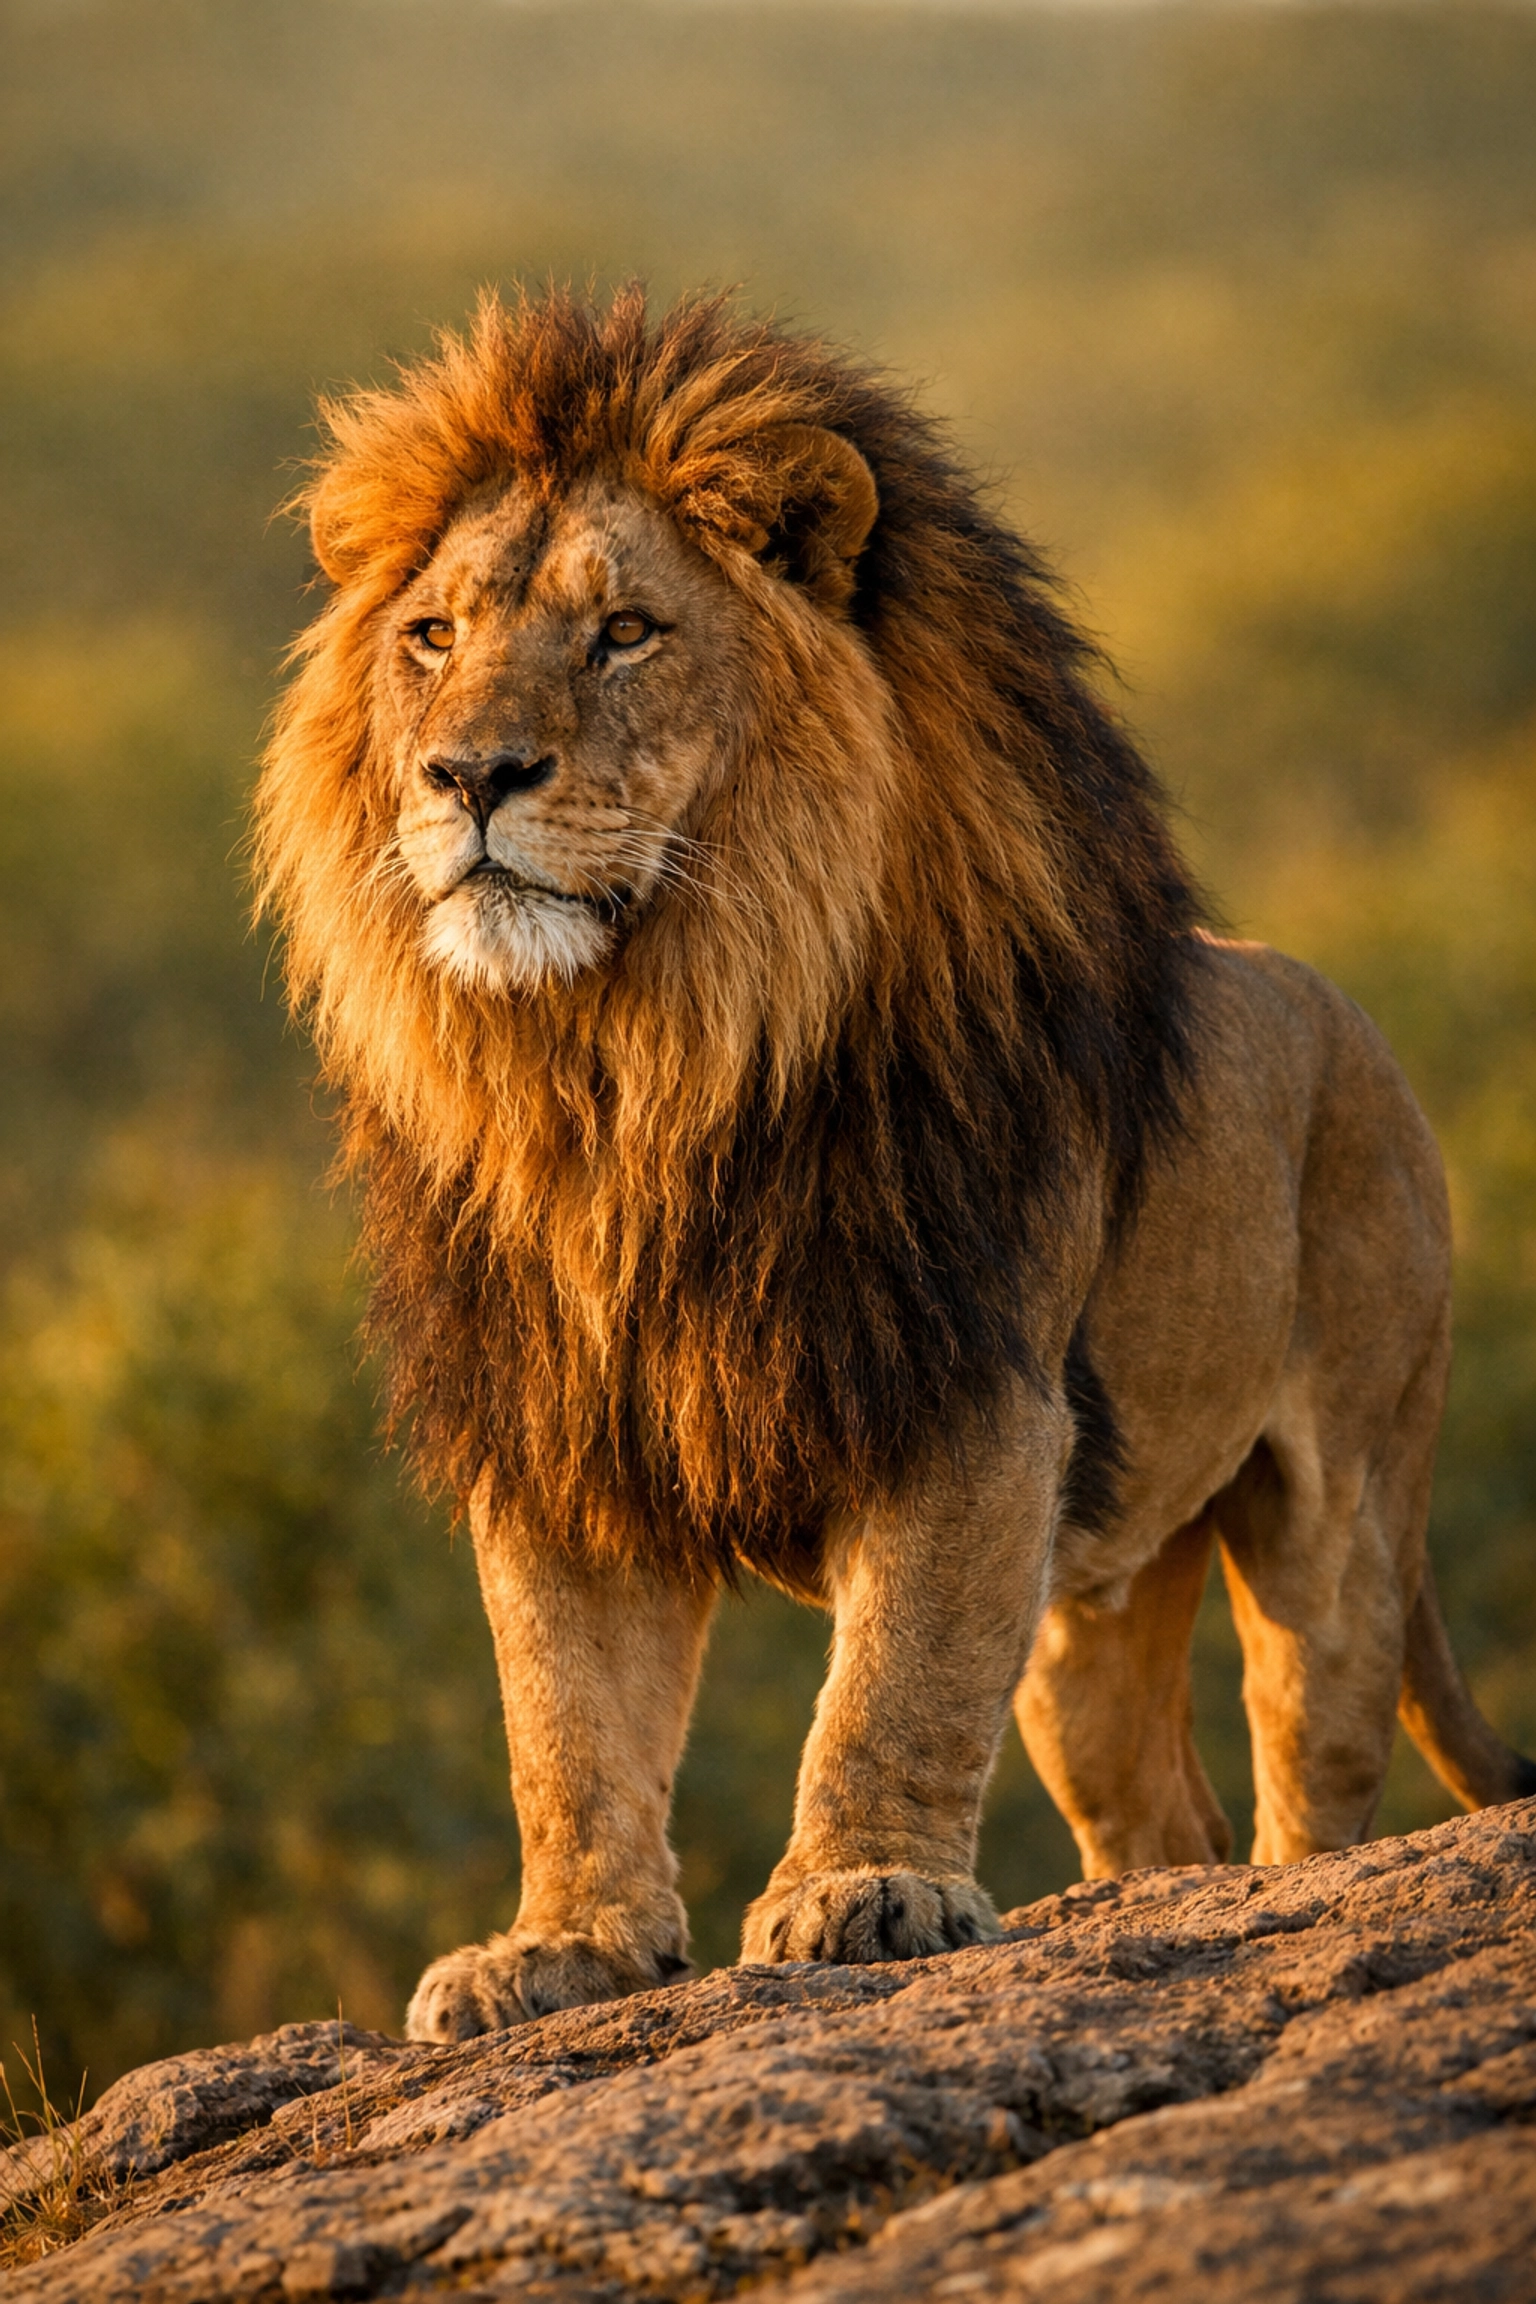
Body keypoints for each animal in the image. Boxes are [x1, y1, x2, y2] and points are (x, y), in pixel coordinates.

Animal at [254, 288, 1533, 2041]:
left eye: (626, 632)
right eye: (433, 638)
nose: (469, 777)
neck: (632, 1070)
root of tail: (1353, 1016)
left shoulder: (972, 1396)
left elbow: (897, 1676)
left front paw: (863, 1892)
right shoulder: (560, 1434)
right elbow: (564, 1721)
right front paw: (562, 1949)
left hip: (1341, 1496)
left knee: (1312, 1755)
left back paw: (1280, 1901)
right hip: (1096, 1599)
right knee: (1158, 1806)